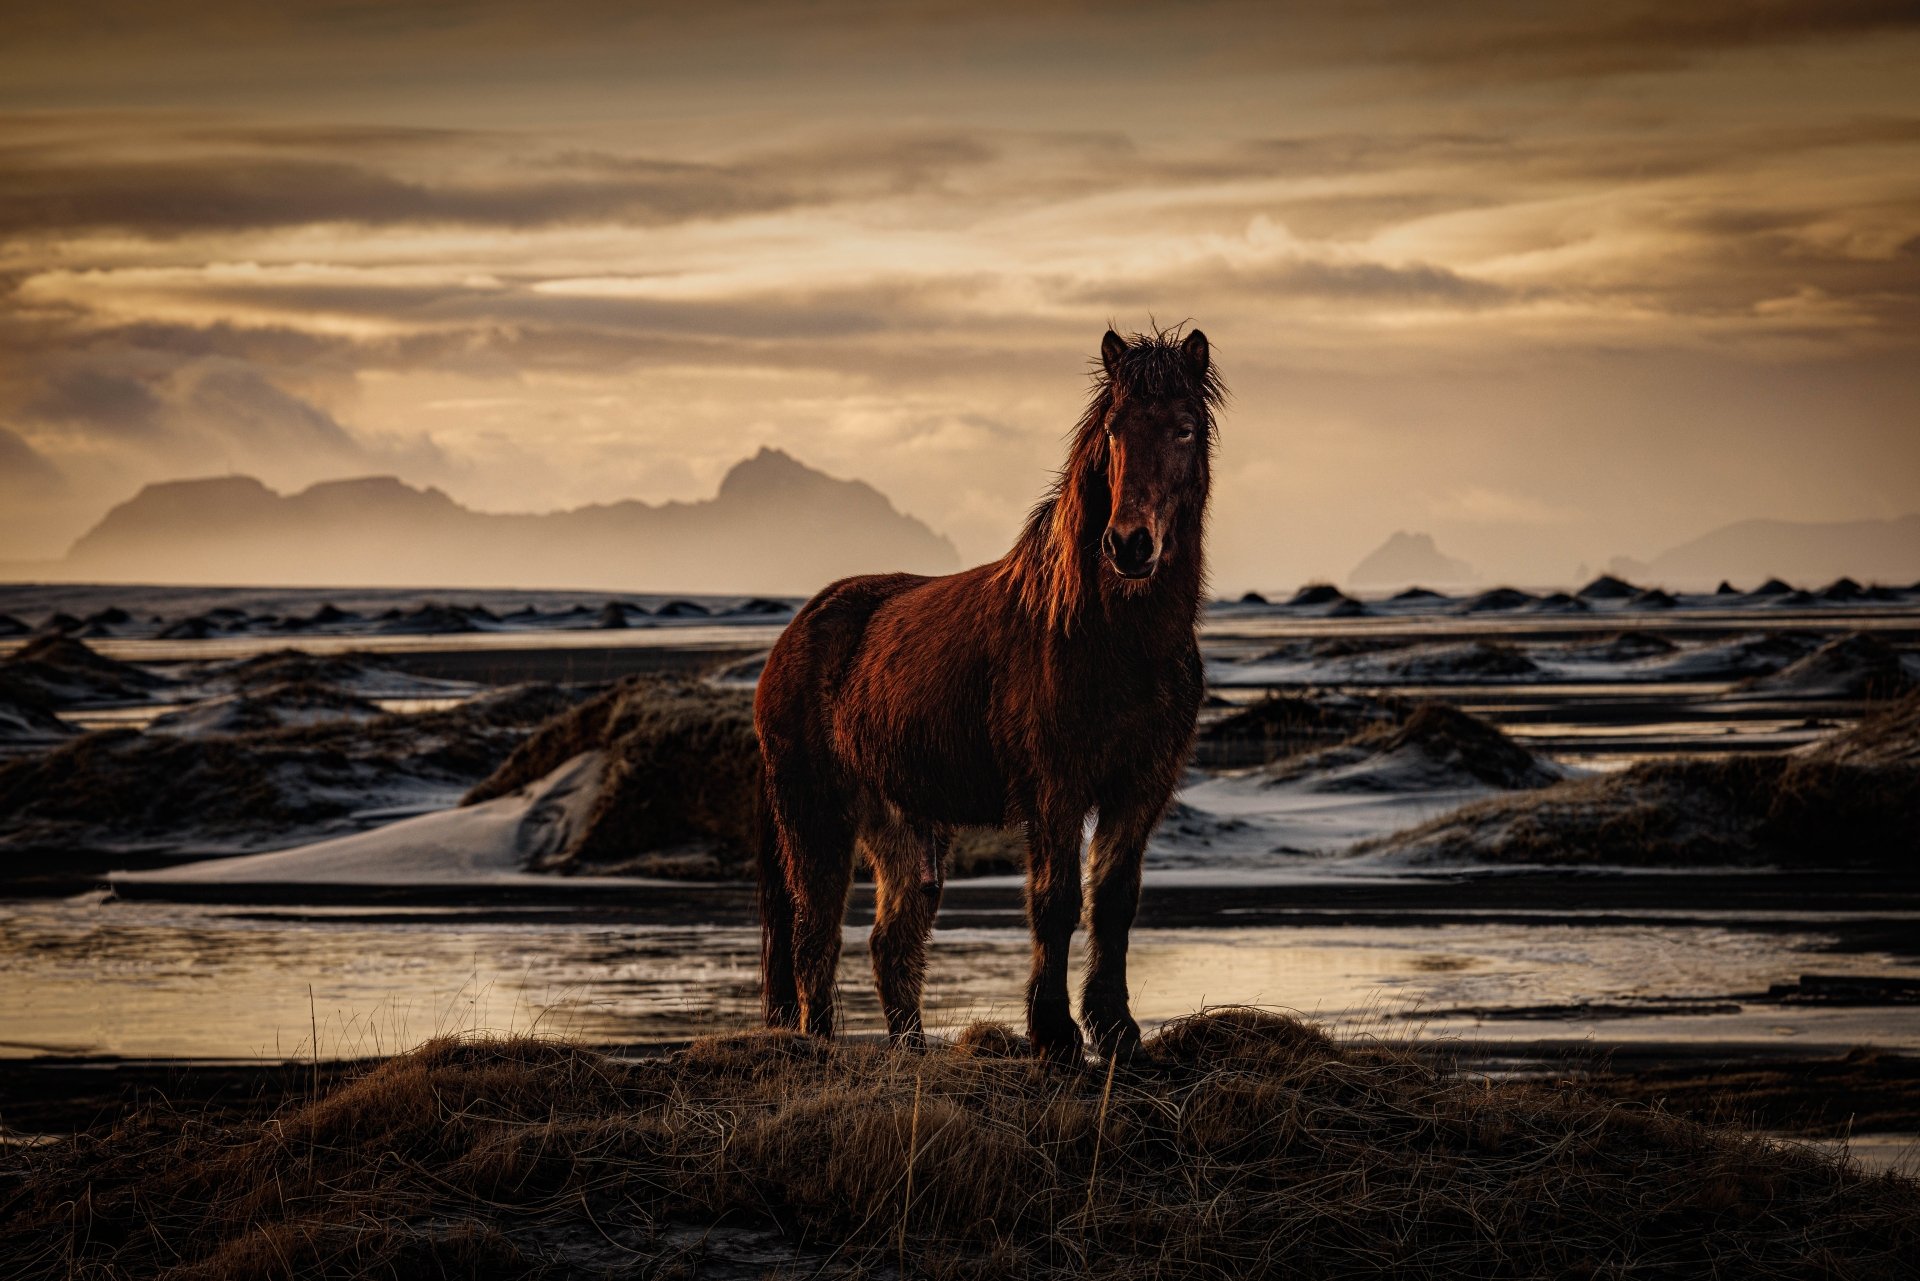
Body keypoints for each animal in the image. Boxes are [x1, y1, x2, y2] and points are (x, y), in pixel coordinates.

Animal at [754, 325, 1221, 1062]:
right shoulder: (1057, 788)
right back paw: (821, 1046)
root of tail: (795, 633)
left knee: (891, 943)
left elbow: (1114, 903)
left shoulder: (1140, 787)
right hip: (816, 815)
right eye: (1113, 430)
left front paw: (1117, 1030)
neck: (1108, 636)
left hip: (901, 822)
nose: (1129, 545)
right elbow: (1055, 902)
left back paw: (912, 1053)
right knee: (813, 939)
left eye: (1183, 428)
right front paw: (1055, 1035)